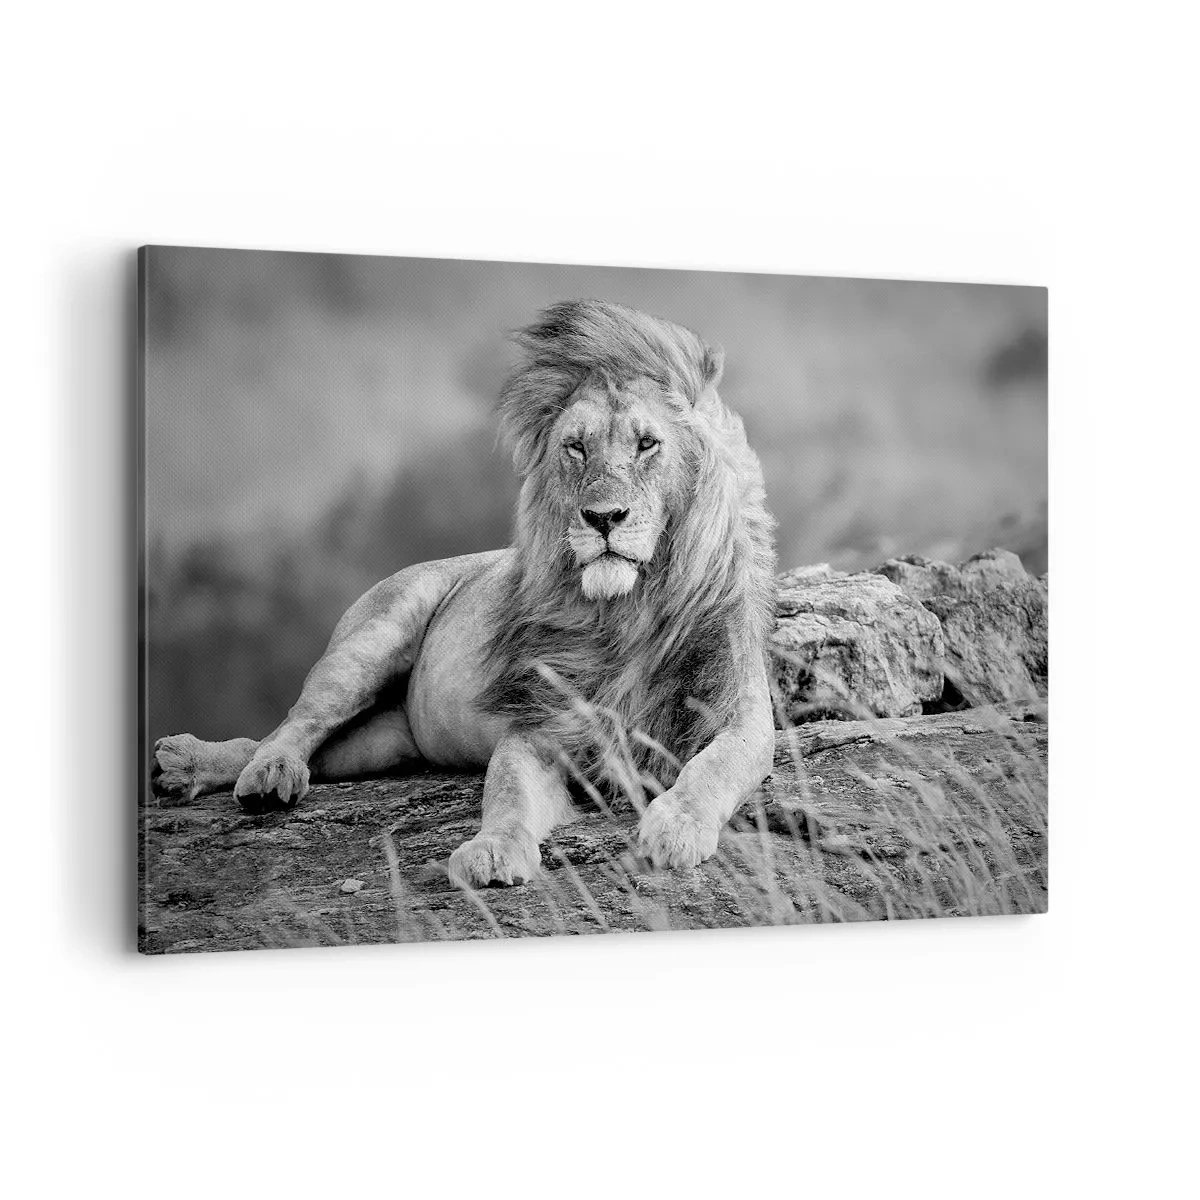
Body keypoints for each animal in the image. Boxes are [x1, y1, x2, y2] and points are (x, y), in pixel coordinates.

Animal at [151, 299, 778, 887]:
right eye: (575, 448)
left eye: (648, 444)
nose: (602, 518)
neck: (628, 612)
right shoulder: (540, 726)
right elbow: (506, 793)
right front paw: (493, 851)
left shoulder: (741, 714)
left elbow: (714, 768)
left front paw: (675, 827)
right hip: (370, 641)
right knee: (292, 725)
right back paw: (250, 772)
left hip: (384, 742)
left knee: (309, 748)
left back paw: (188, 768)